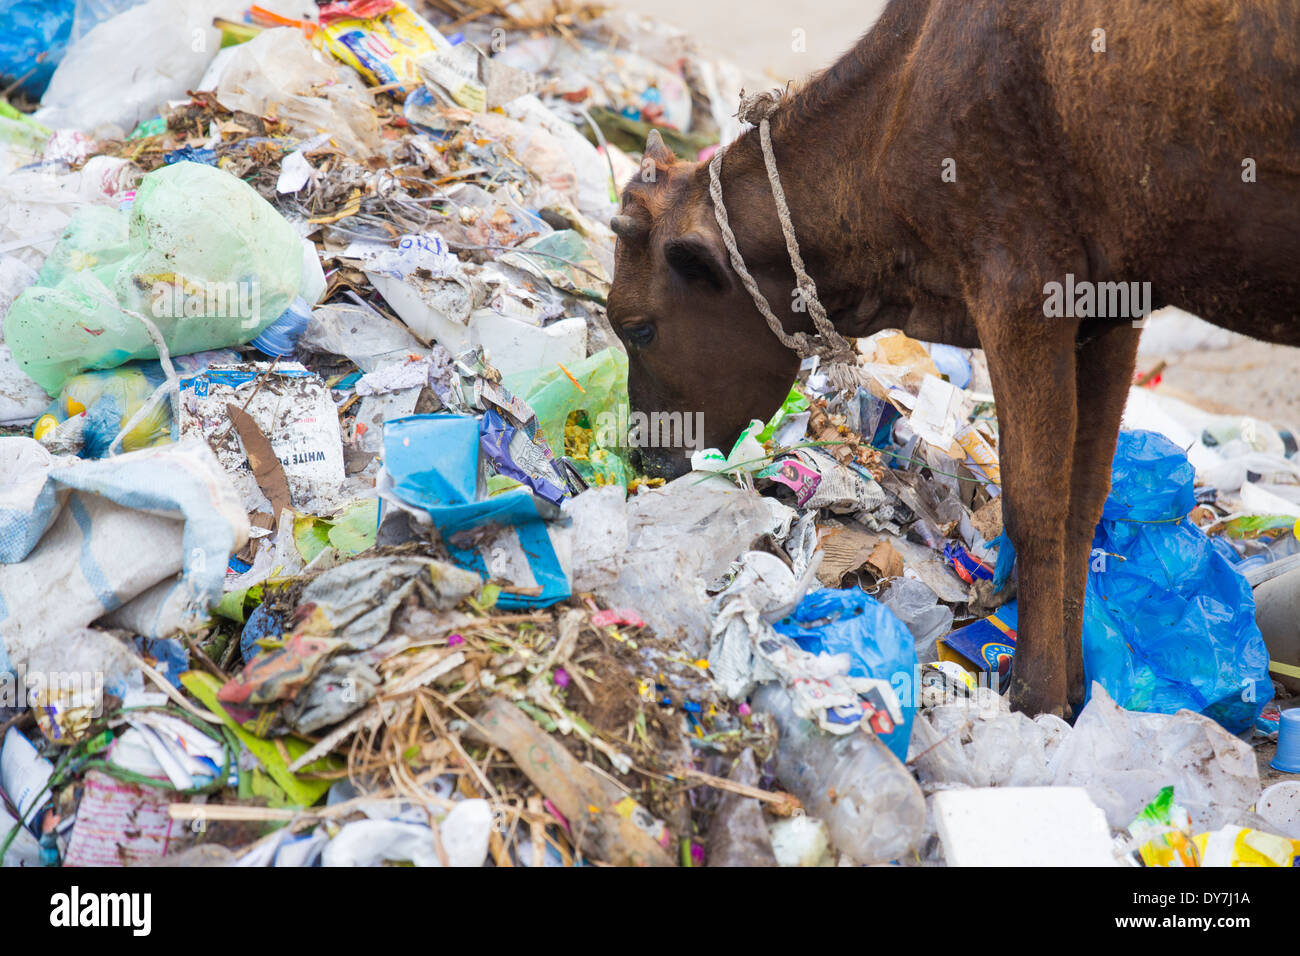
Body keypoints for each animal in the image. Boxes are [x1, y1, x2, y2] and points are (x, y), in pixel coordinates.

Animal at [605, 0, 1300, 717]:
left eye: (637, 328)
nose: (646, 458)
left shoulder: (1021, 285)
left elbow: (1037, 506)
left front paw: (1036, 698)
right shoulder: (1112, 306)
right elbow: (1083, 500)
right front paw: (1074, 688)